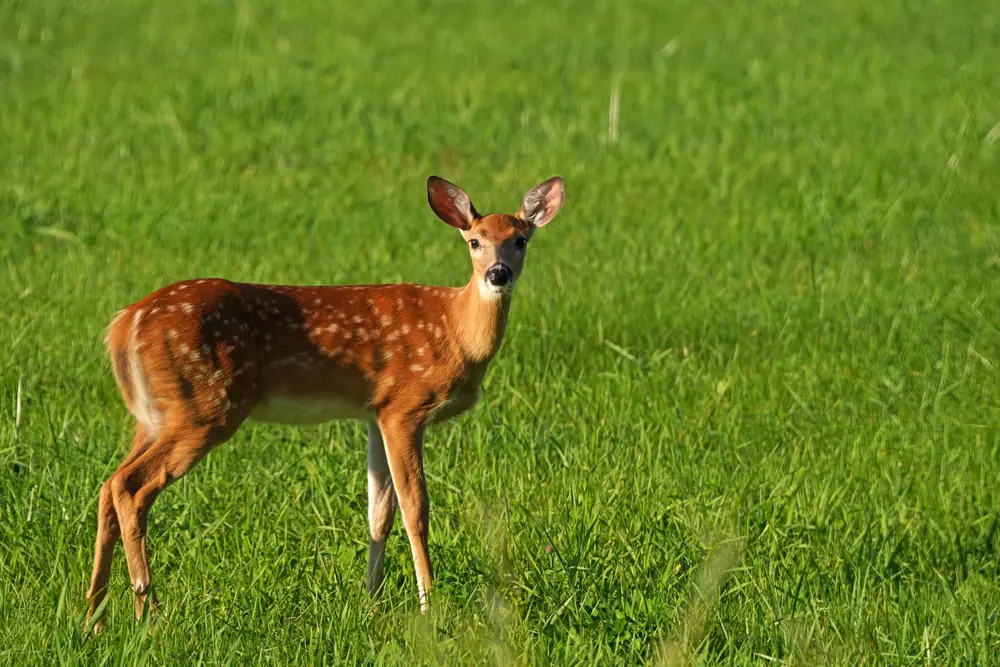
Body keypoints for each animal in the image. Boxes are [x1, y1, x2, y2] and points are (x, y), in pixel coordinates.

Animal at [85, 175, 565, 629]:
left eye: (520, 239)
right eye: (474, 241)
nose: (498, 274)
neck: (455, 331)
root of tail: (124, 324)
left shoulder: (375, 412)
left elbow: (379, 512)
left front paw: (371, 603)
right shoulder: (405, 407)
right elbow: (416, 509)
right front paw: (428, 606)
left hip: (154, 416)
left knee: (109, 485)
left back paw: (94, 616)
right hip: (206, 406)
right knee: (130, 487)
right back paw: (146, 612)